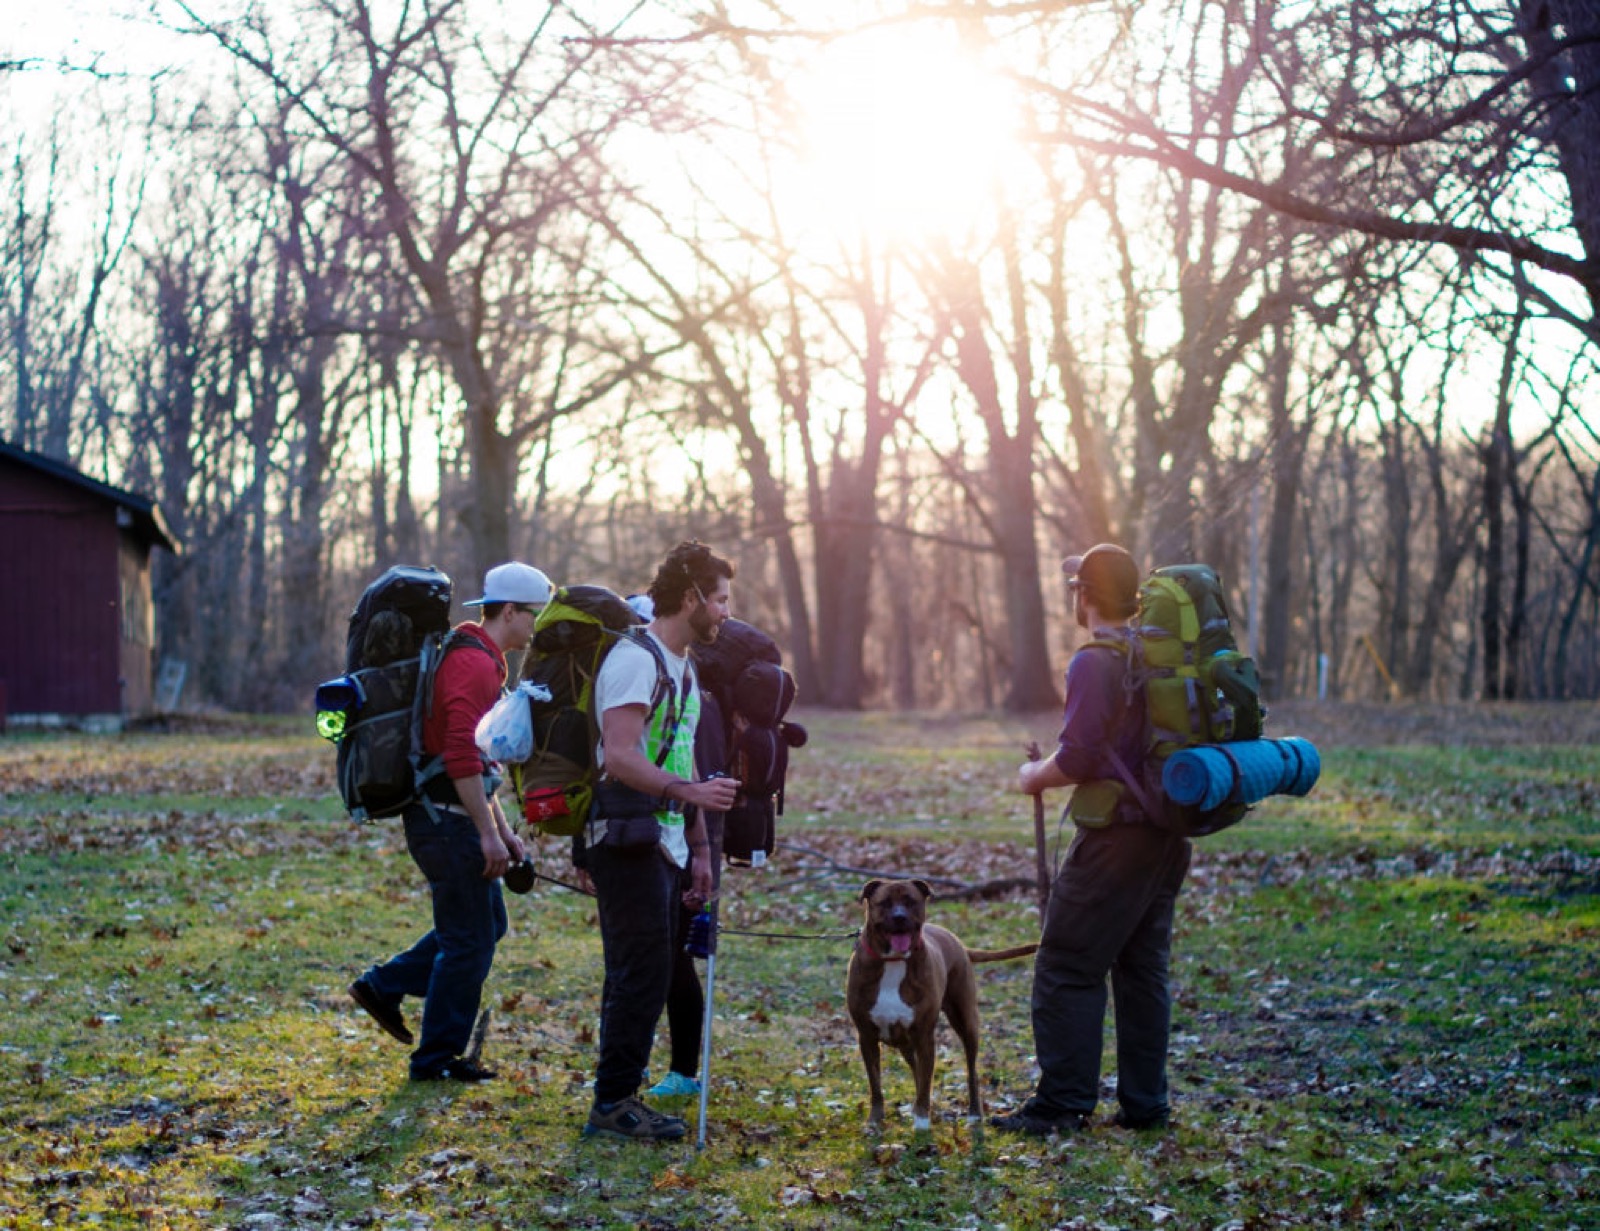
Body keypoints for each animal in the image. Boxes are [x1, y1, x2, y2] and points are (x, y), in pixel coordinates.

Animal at [851, 877, 1036, 1126]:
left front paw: (921, 1123)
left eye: (910, 901)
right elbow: (876, 1084)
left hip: (966, 1021)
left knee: (971, 1071)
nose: (899, 917)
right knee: (916, 1068)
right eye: (885, 903)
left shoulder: (924, 1036)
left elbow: (925, 1082)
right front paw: (875, 1121)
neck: (893, 961)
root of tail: (958, 943)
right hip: (906, 1042)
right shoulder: (867, 1037)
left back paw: (974, 1114)